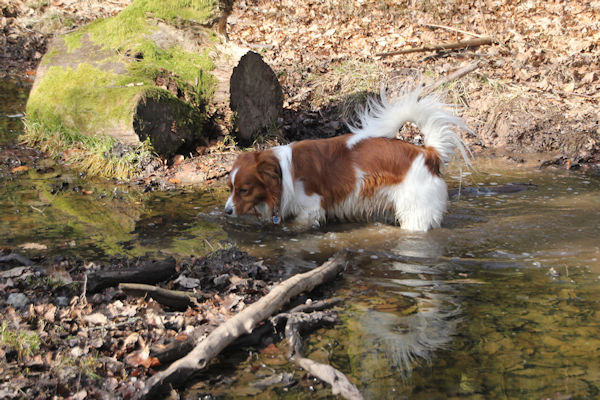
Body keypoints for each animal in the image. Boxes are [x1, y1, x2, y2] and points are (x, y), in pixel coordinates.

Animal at [224, 87, 470, 231]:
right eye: (231, 188)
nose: (226, 211)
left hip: (415, 214)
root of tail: (428, 153)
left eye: (243, 190)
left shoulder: (311, 208)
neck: (283, 172)